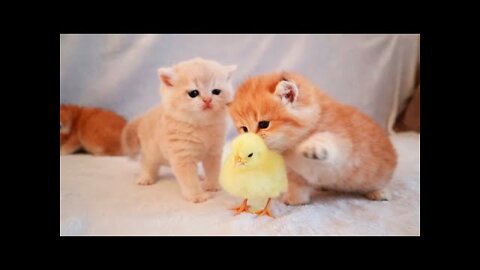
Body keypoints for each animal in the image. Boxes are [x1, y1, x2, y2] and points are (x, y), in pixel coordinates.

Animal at [122, 58, 236, 204]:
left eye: (216, 91)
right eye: (194, 93)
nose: (207, 100)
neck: (200, 126)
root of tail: (144, 116)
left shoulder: (214, 152)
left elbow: (213, 171)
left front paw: (211, 185)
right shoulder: (183, 156)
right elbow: (189, 179)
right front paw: (197, 196)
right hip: (151, 151)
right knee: (147, 163)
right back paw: (146, 178)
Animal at [229, 71, 398, 205]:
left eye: (264, 124)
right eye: (244, 129)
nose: (248, 144)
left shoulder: (344, 149)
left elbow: (329, 140)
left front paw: (312, 146)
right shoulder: (294, 172)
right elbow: (297, 185)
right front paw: (295, 200)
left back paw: (380, 193)